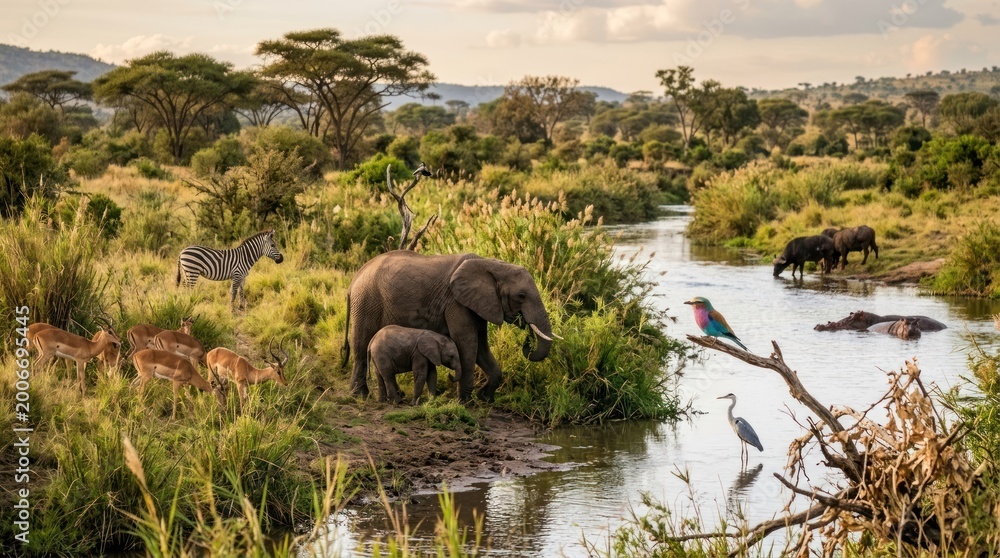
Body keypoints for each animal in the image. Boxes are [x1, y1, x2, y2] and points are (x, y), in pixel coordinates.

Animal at [343, 251, 556, 402]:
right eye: (521, 296)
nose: (527, 339)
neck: (492, 264)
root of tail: (355, 278)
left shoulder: (479, 303)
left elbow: (481, 346)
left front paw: (485, 397)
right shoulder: (456, 302)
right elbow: (467, 343)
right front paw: (465, 401)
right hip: (366, 301)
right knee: (361, 345)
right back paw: (359, 395)